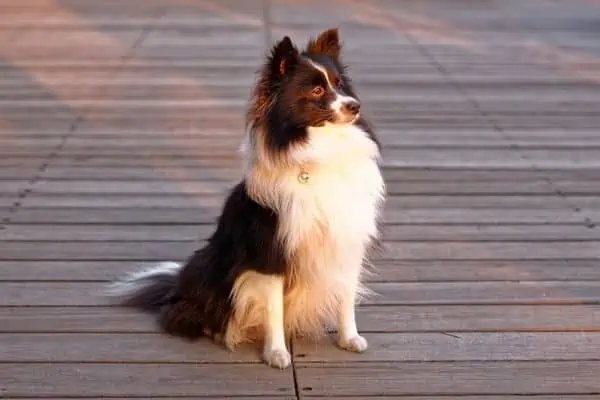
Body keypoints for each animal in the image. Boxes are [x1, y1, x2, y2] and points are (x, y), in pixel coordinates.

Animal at [108, 28, 386, 370]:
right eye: (317, 89)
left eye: (340, 84)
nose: (354, 106)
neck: (321, 150)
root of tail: (176, 287)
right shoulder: (271, 253)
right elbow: (274, 309)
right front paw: (277, 353)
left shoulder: (345, 241)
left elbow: (347, 296)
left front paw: (349, 339)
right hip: (209, 264)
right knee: (183, 314)